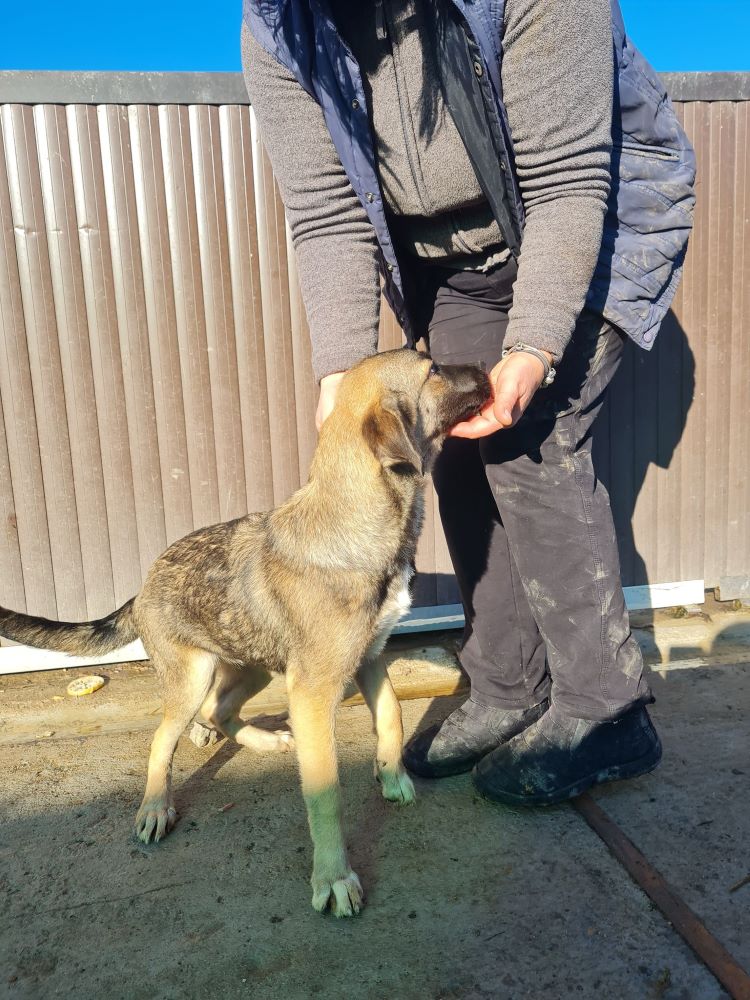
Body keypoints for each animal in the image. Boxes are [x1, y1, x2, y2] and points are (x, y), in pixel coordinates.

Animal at [0, 348, 494, 916]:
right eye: (431, 369)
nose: (490, 368)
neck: (356, 525)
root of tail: (143, 582)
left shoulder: (368, 657)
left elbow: (390, 715)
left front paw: (392, 775)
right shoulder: (313, 692)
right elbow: (325, 793)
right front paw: (333, 877)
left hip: (255, 667)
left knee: (219, 710)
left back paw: (260, 739)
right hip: (194, 677)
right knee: (163, 737)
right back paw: (156, 806)